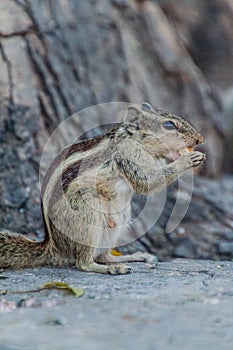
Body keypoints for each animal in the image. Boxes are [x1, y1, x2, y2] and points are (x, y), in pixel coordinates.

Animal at [0, 102, 205, 274]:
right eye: (169, 125)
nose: (200, 139)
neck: (135, 140)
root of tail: (54, 247)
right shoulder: (129, 157)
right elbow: (147, 182)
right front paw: (187, 160)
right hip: (87, 216)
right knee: (83, 263)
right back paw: (110, 269)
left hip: (119, 220)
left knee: (104, 255)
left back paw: (134, 257)